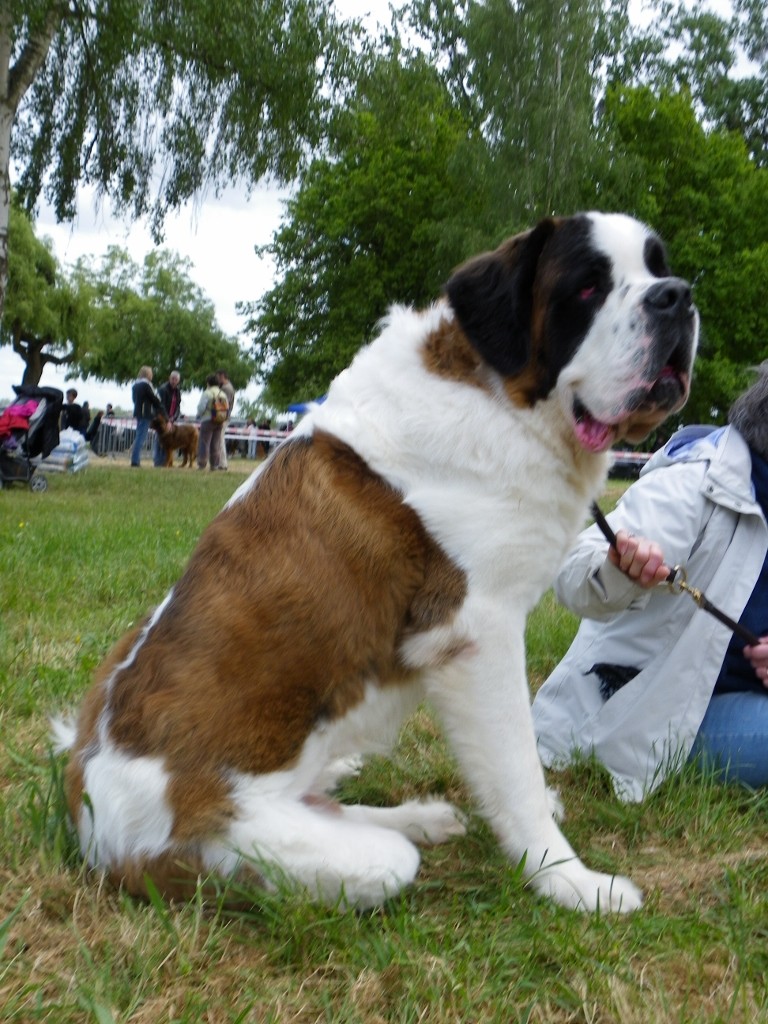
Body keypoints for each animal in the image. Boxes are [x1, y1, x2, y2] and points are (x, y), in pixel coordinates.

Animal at [55, 214, 696, 913]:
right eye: (587, 288)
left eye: (658, 267)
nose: (677, 297)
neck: (502, 398)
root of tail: (87, 803)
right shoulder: (478, 635)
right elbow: (517, 768)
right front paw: (571, 882)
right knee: (386, 854)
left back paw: (419, 813)